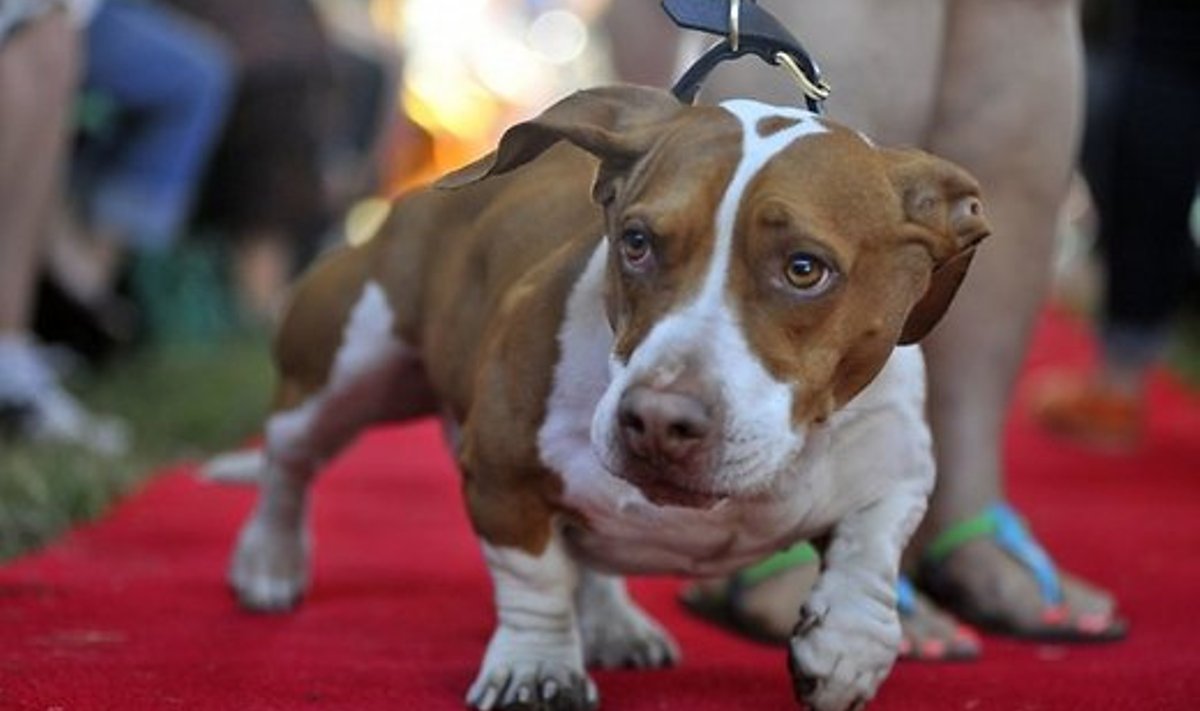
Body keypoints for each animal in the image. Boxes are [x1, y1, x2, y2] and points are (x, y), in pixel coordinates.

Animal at [220, 84, 988, 711]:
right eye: (638, 242)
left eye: (805, 269)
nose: (658, 420)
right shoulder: (502, 473)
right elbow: (534, 579)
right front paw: (535, 668)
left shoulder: (898, 464)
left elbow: (871, 548)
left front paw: (847, 648)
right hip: (345, 365)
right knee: (289, 459)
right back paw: (270, 561)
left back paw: (615, 619)